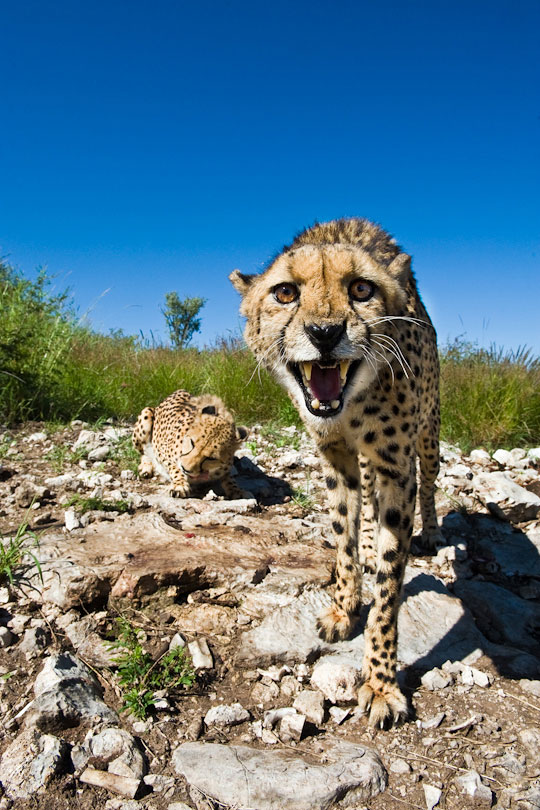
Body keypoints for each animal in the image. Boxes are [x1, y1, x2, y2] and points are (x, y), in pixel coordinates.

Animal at [229, 216, 442, 724]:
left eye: (361, 289)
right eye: (285, 292)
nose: (325, 332)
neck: (352, 405)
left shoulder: (395, 466)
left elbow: (390, 588)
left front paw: (381, 683)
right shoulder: (337, 458)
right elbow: (344, 537)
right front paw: (345, 607)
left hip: (428, 434)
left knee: (430, 477)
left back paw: (431, 531)